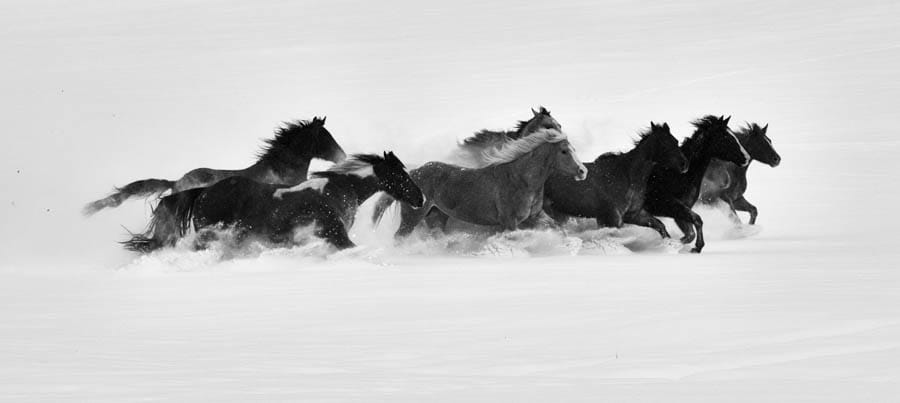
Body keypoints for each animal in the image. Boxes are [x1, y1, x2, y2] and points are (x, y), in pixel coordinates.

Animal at [372, 128, 587, 237]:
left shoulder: (534, 218)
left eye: (574, 149)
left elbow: (556, 228)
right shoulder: (510, 223)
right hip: (412, 218)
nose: (583, 171)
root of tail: (413, 173)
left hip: (436, 216)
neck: (521, 180)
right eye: (564, 151)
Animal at [542, 122, 688, 237]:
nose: (684, 164)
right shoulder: (611, 219)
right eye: (663, 145)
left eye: (675, 141)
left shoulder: (634, 215)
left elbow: (660, 226)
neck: (627, 177)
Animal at [644, 115, 750, 253]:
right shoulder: (669, 207)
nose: (746, 158)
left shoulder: (682, 210)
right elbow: (695, 224)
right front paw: (694, 247)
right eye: (726, 138)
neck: (677, 175)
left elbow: (690, 233)